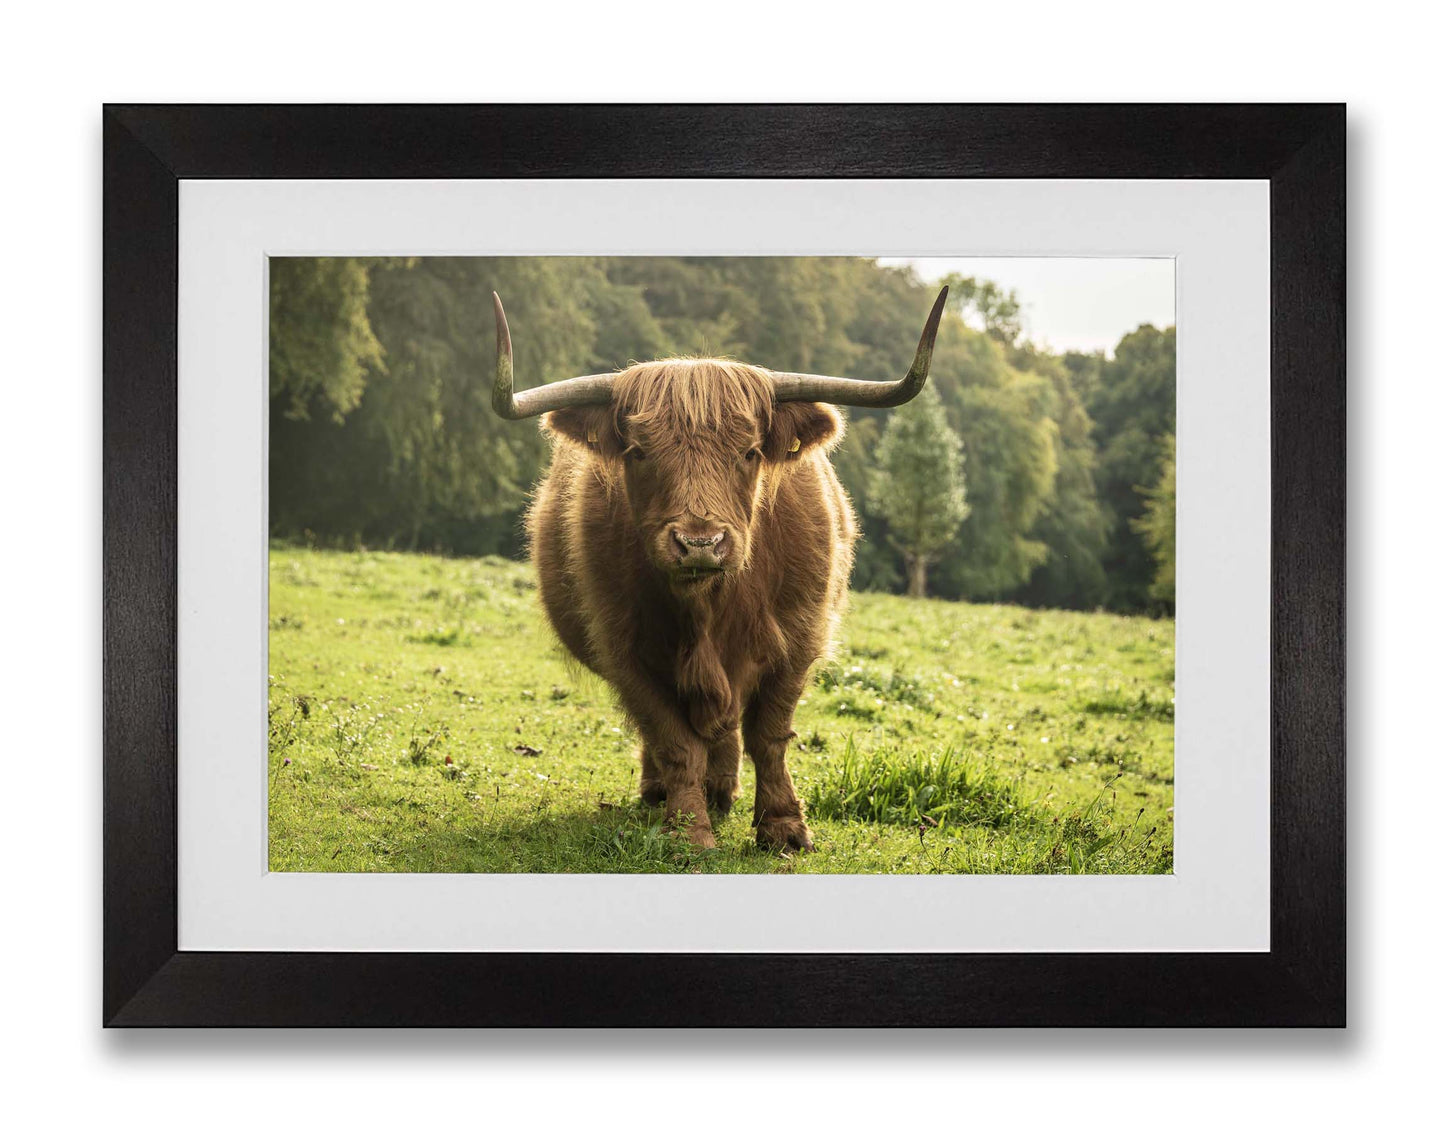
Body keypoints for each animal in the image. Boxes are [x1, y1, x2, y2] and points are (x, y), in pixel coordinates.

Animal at [490, 287, 948, 851]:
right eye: (638, 452)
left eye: (749, 452)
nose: (699, 544)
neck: (709, 606)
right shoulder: (626, 651)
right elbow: (673, 740)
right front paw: (688, 830)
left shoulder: (798, 640)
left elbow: (769, 734)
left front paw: (784, 828)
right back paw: (667, 792)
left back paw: (722, 789)